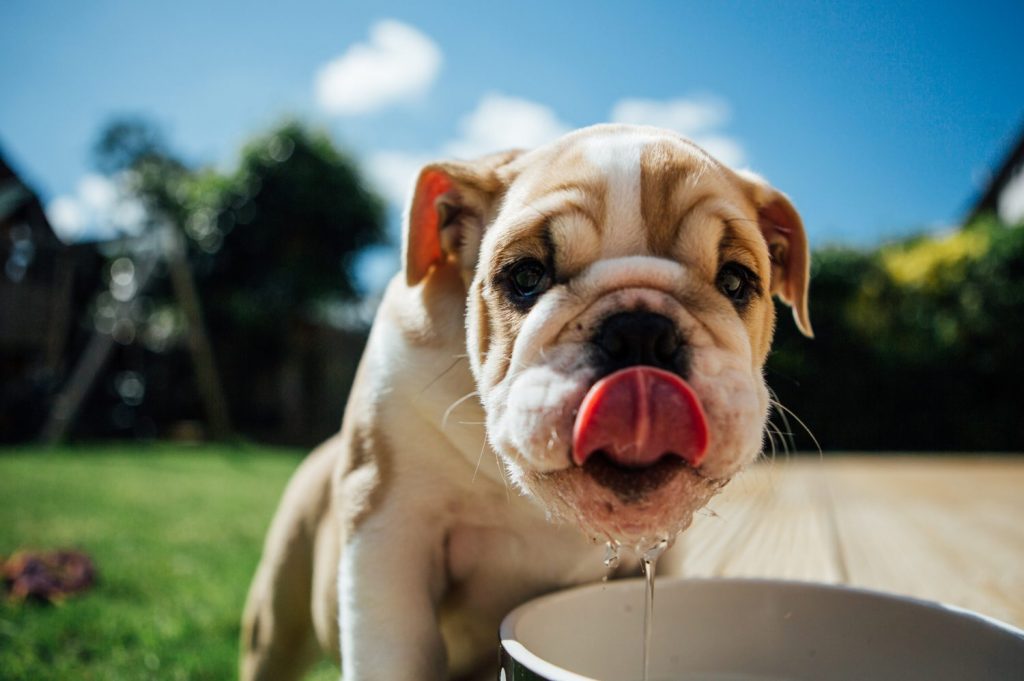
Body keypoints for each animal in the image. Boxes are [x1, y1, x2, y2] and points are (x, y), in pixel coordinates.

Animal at [237, 124, 806, 679]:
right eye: (526, 276)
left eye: (735, 281)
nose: (641, 332)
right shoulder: (390, 525)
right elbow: (395, 651)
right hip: (275, 621)